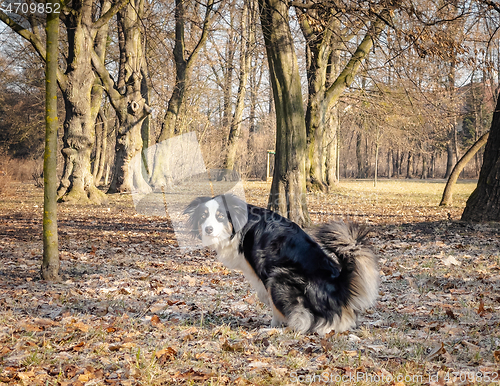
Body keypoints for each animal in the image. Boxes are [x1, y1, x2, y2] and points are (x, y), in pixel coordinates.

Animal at [184, 195, 378, 334]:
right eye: (203, 216)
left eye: (220, 216)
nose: (208, 229)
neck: (241, 226)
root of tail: (339, 287)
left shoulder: (265, 272)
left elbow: (275, 308)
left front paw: (273, 327)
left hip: (279, 277)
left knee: (303, 322)